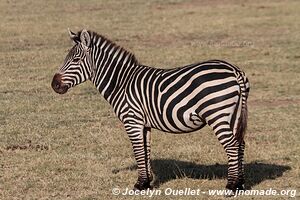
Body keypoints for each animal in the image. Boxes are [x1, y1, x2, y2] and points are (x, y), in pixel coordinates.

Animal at [52, 28, 251, 191]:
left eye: (76, 60)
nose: (54, 85)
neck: (121, 83)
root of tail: (235, 71)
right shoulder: (144, 124)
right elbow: (146, 151)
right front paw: (146, 183)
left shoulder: (132, 120)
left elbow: (138, 151)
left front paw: (139, 185)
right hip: (233, 115)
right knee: (240, 144)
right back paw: (240, 184)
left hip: (217, 114)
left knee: (232, 145)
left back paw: (231, 186)